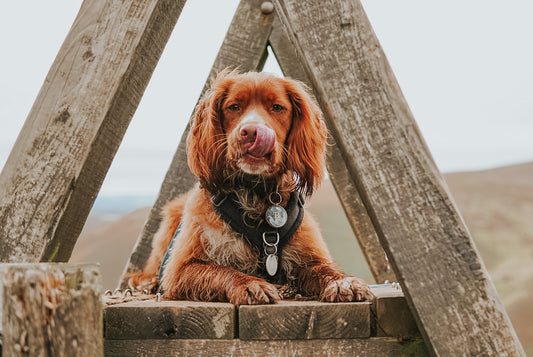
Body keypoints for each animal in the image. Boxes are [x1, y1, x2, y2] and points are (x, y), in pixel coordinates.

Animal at [128, 71, 370, 304]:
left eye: (277, 107)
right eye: (234, 107)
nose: (252, 132)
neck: (256, 190)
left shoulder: (308, 257)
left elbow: (325, 269)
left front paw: (343, 282)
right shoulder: (180, 269)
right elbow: (220, 270)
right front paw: (249, 284)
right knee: (148, 269)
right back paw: (146, 281)